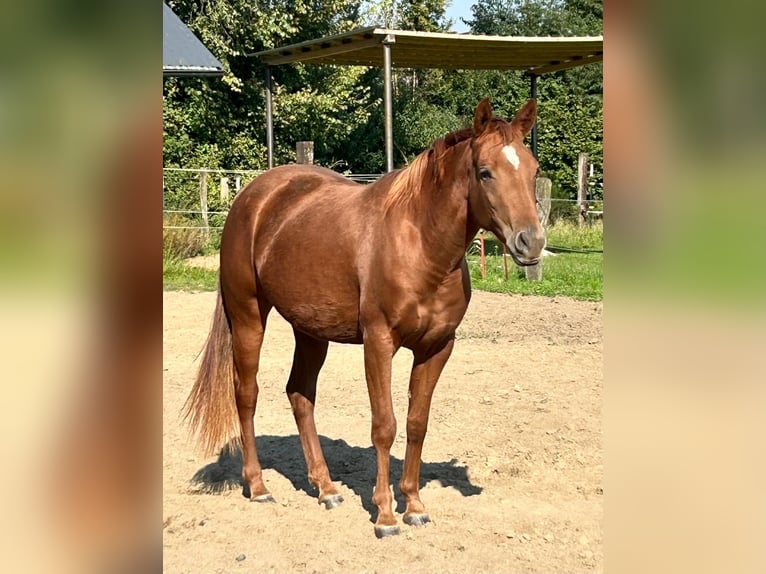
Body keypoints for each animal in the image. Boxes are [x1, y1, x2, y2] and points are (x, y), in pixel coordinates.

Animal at [185, 100, 544, 540]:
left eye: (533, 170)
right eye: (485, 171)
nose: (531, 241)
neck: (419, 243)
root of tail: (253, 196)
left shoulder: (437, 347)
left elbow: (417, 423)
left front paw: (415, 506)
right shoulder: (378, 343)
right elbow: (384, 425)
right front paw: (386, 515)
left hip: (311, 331)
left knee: (300, 394)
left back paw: (326, 489)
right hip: (249, 315)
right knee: (246, 394)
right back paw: (258, 486)